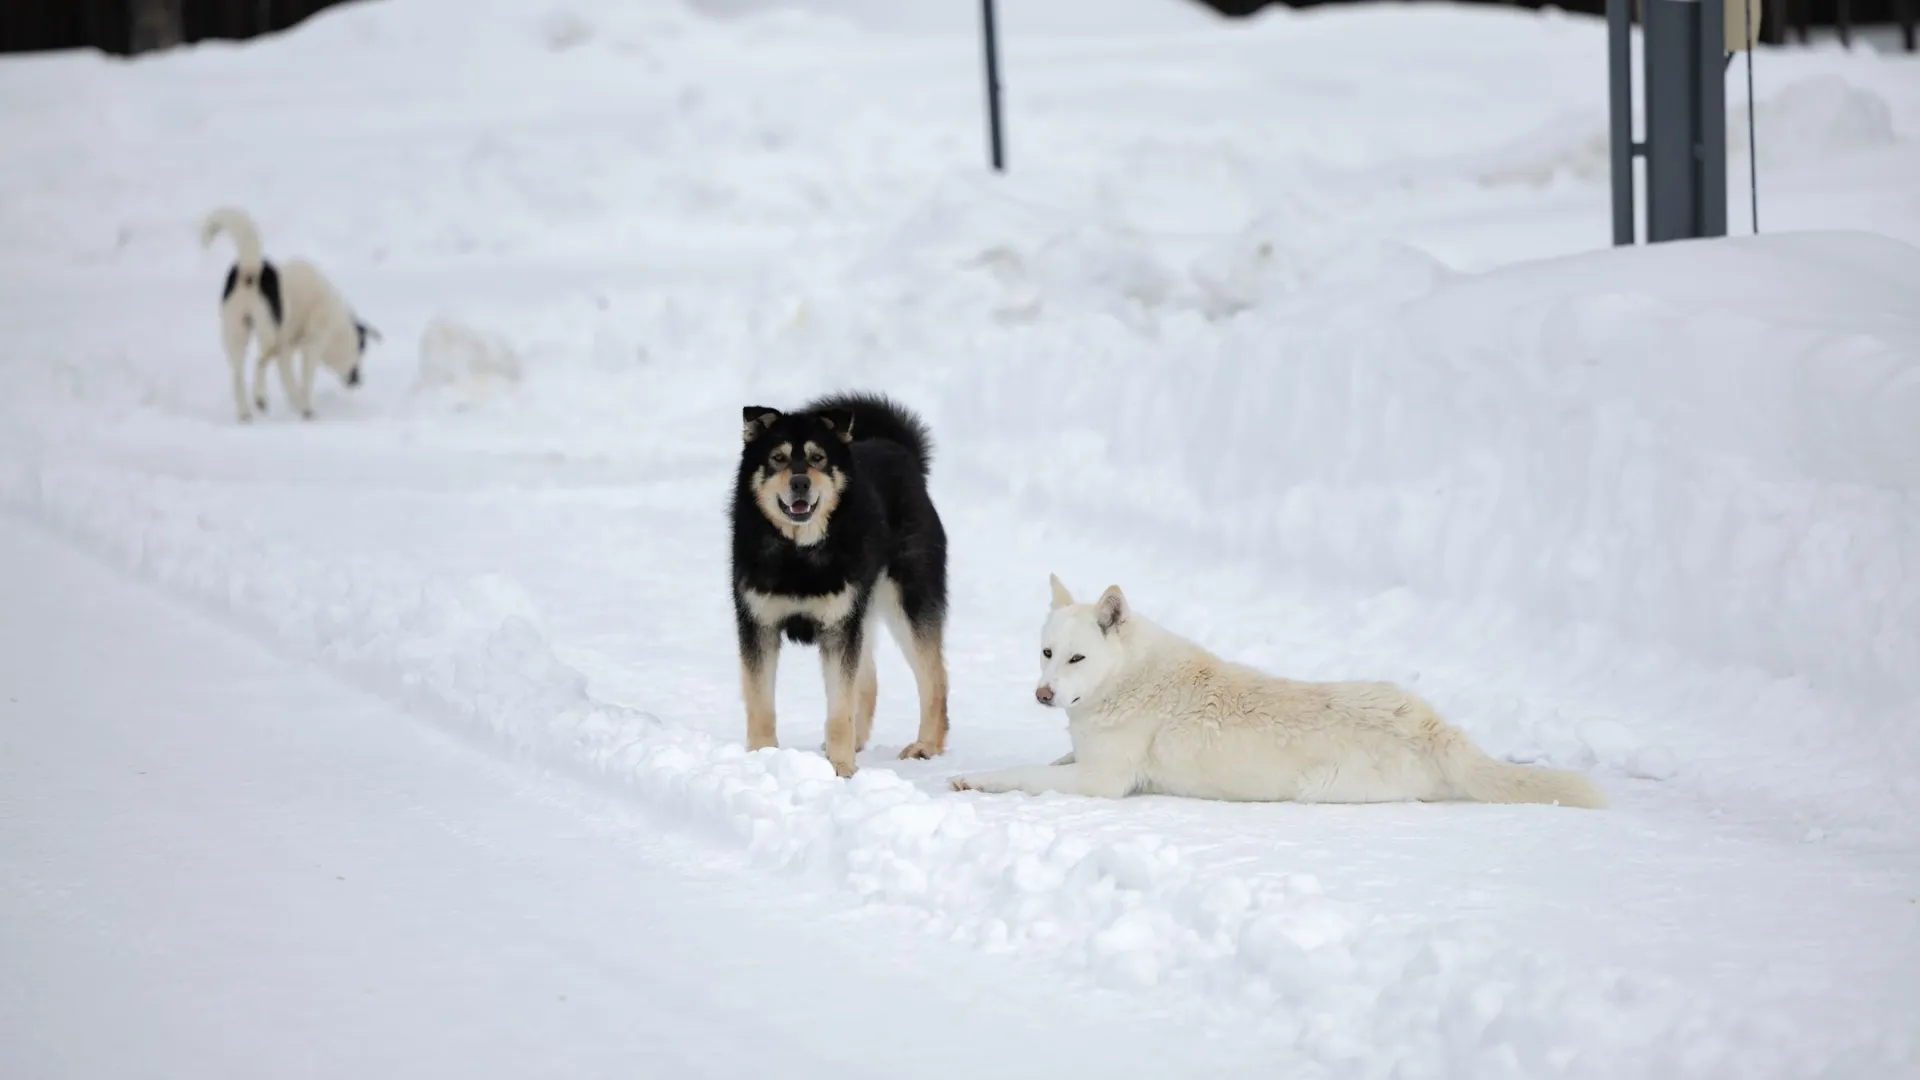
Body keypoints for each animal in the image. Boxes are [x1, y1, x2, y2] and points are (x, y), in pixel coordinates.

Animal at [204, 205, 380, 420]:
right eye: (362, 348)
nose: (359, 380)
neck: (337, 323)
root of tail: (250, 269)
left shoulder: (288, 350)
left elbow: (289, 381)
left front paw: (298, 405)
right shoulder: (309, 347)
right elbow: (304, 381)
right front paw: (306, 409)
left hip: (236, 333)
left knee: (238, 375)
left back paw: (246, 413)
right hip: (270, 337)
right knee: (258, 363)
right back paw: (260, 398)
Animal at [729, 388, 948, 772]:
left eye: (818, 458)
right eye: (778, 458)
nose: (800, 482)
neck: (798, 554)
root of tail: (901, 451)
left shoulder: (837, 627)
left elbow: (839, 710)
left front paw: (842, 770)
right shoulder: (758, 624)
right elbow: (760, 705)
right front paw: (761, 758)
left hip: (907, 603)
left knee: (934, 680)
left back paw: (926, 746)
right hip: (866, 609)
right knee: (870, 682)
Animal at [948, 576, 1605, 803]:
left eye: (1078, 659)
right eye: (1047, 654)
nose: (1043, 695)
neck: (1129, 678)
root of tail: (1435, 728)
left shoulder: (1099, 782)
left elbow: (1023, 772)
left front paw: (977, 780)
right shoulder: (1081, 755)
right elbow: (1051, 756)